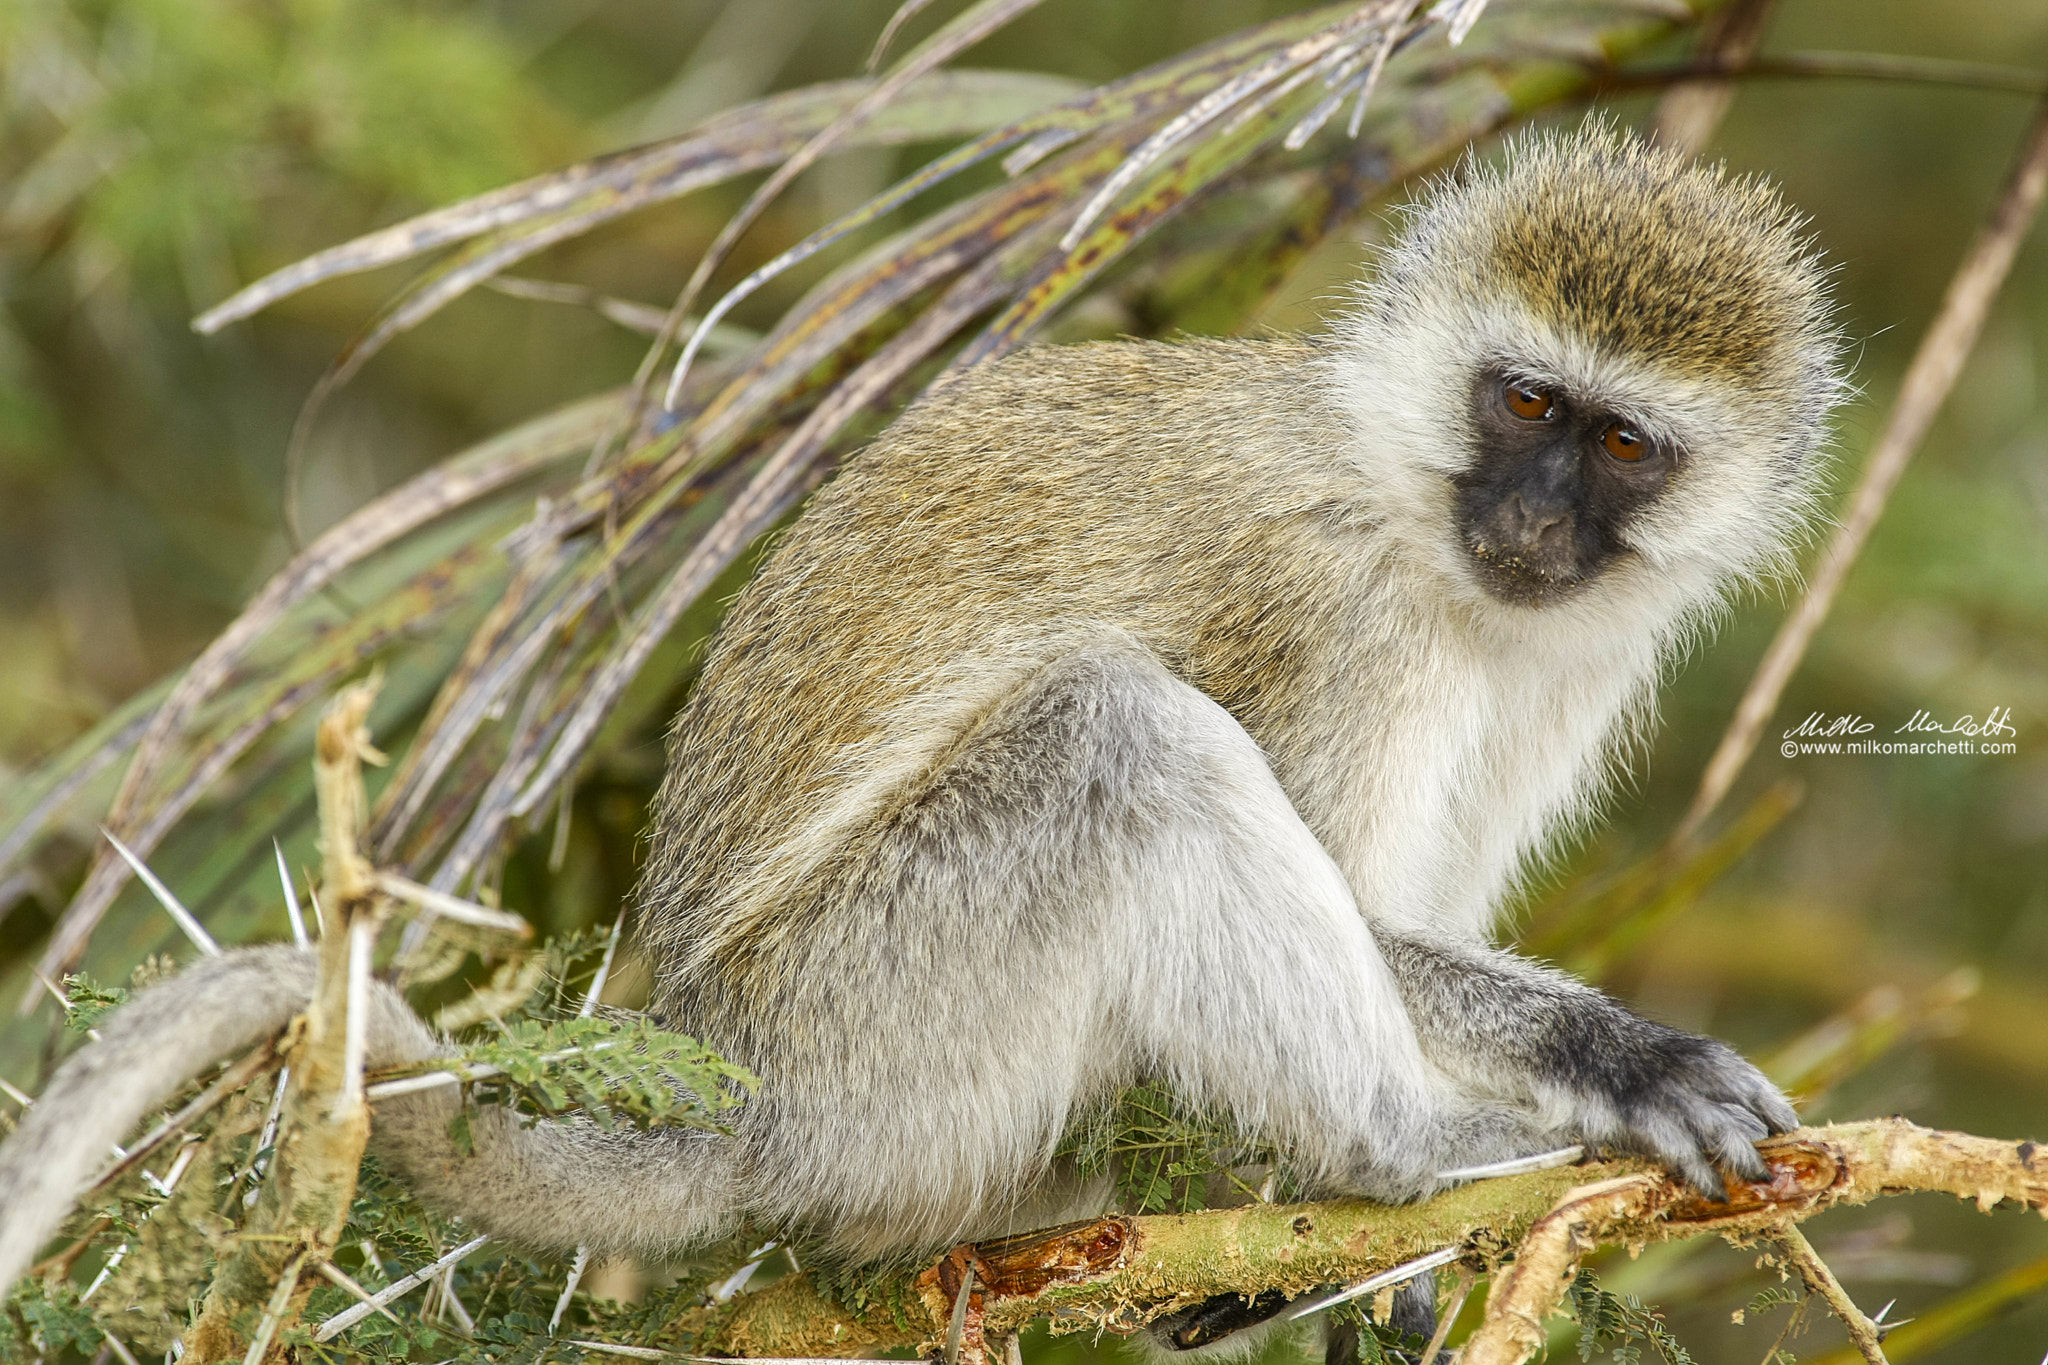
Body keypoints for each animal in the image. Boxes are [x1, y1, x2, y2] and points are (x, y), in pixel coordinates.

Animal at [0, 127, 1840, 1339]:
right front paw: (1622, 1061)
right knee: (1115, 736)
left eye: (1620, 446)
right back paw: (1394, 1149)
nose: (1529, 523)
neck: (1414, 514)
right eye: (1522, 401)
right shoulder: (1331, 615)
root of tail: (743, 1087)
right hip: (882, 1016)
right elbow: (1371, 912)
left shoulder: (1575, 660)